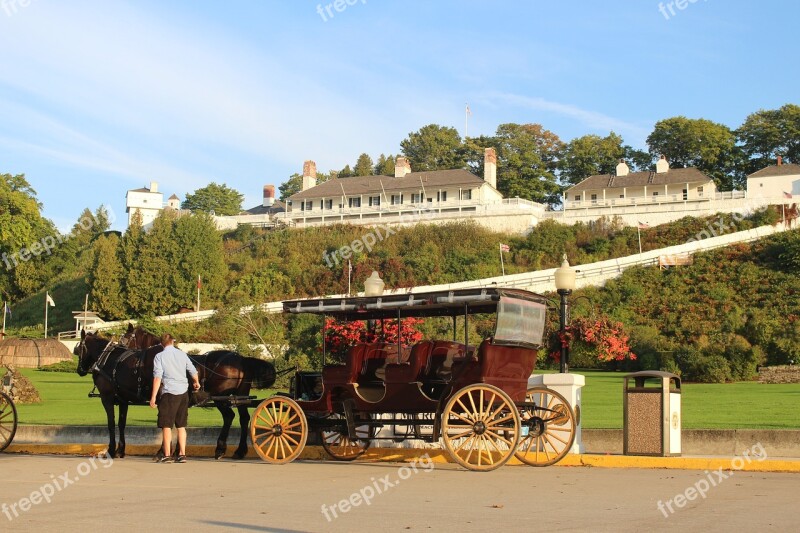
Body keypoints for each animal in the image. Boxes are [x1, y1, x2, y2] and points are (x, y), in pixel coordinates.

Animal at [76, 324, 276, 458]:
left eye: (79, 348)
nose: (80, 370)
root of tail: (241, 358)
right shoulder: (123, 400)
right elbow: (122, 423)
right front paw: (121, 450)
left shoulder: (108, 398)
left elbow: (112, 424)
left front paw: (112, 450)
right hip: (238, 396)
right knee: (242, 418)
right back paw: (237, 450)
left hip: (222, 397)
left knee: (230, 417)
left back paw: (222, 448)